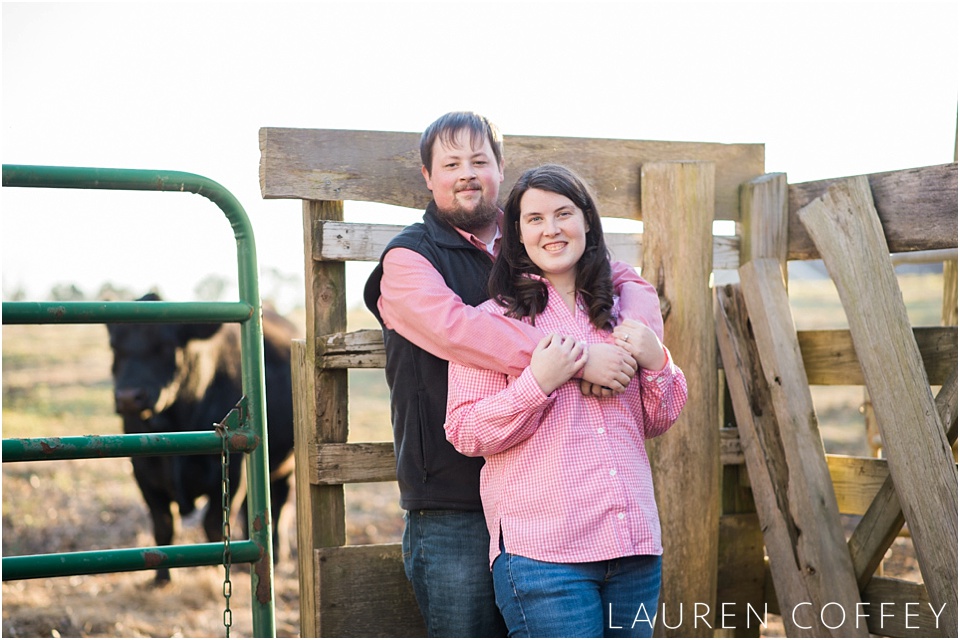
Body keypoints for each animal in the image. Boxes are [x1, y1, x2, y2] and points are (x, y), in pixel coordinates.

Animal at [107, 292, 294, 584]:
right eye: (114, 347)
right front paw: (161, 579)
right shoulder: (143, 471)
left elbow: (214, 525)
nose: (128, 397)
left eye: (166, 346)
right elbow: (163, 526)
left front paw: (215, 571)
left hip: (286, 468)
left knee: (280, 504)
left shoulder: (233, 469)